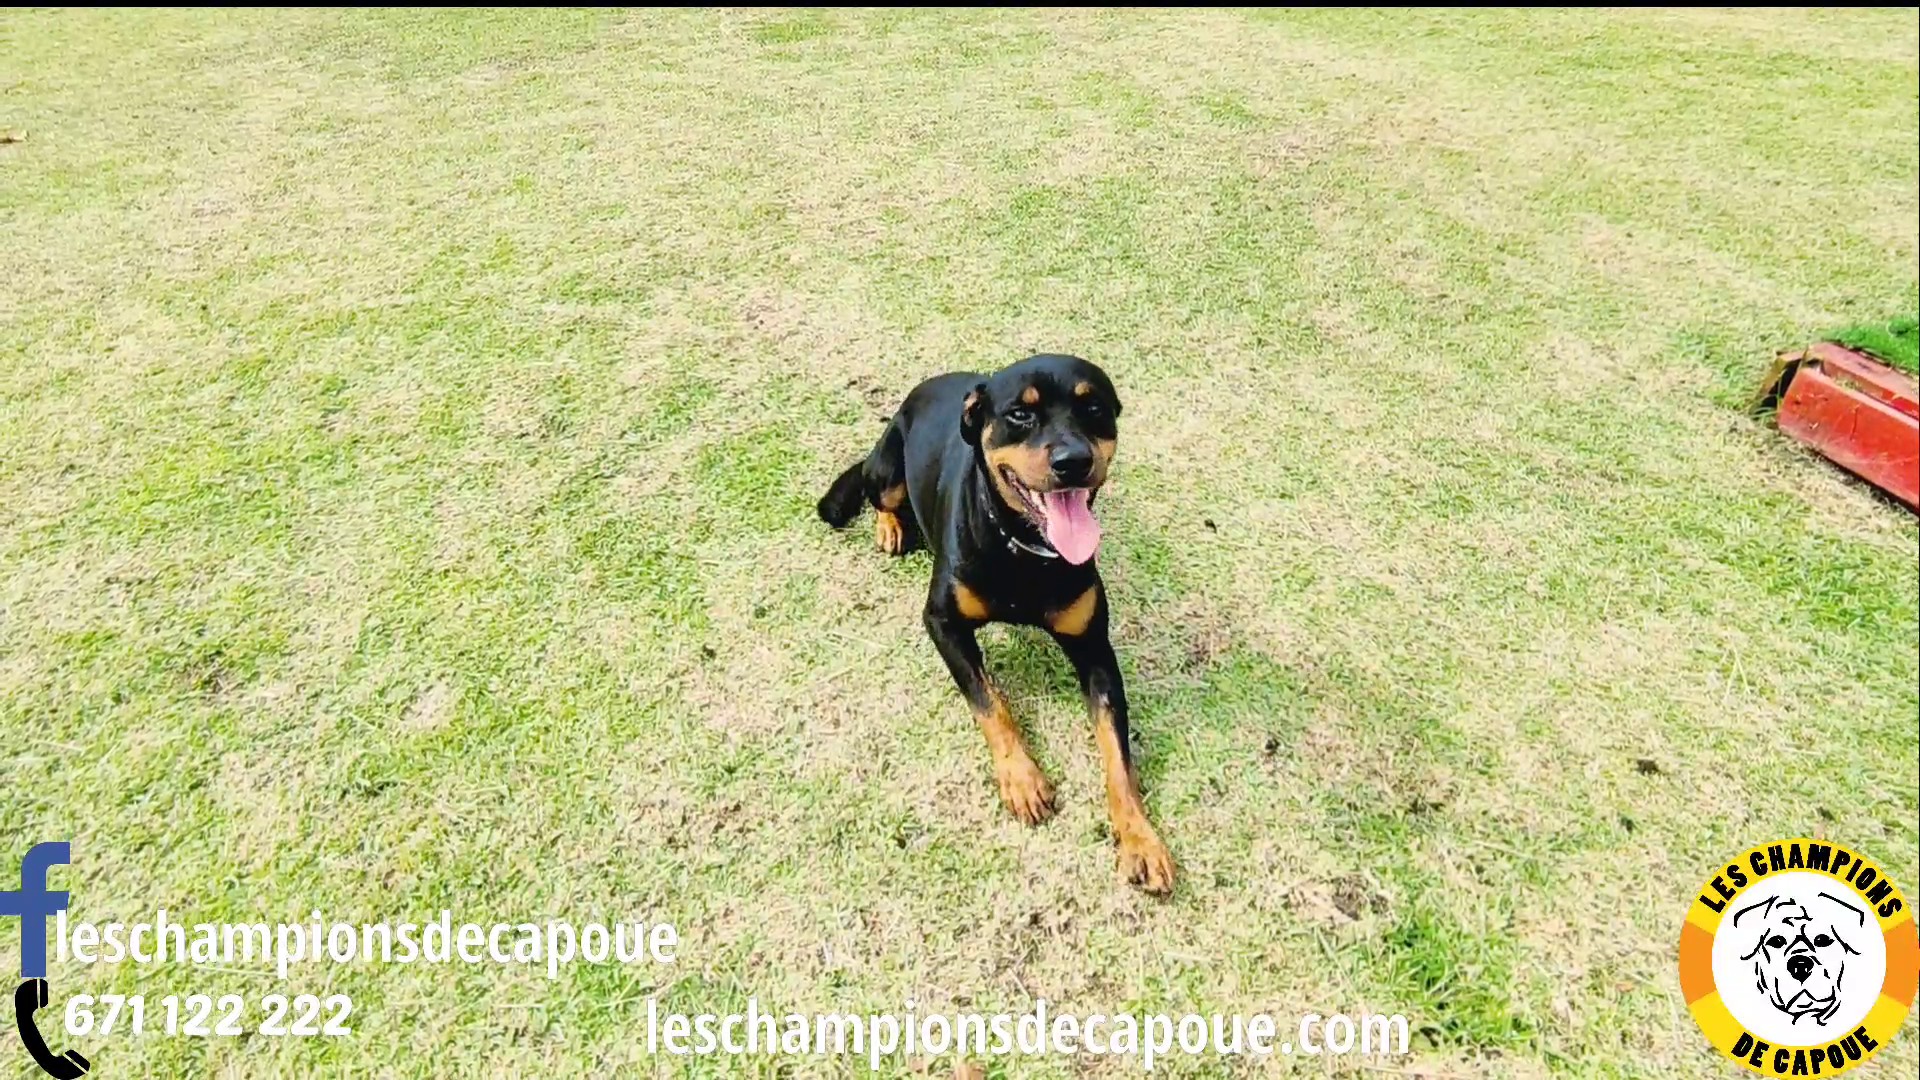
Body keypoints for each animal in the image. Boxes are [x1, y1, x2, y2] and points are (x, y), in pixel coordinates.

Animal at [814, 353, 1167, 891]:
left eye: (1094, 407)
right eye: (1020, 415)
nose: (1073, 462)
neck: (1024, 547)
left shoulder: (1095, 649)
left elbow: (1117, 753)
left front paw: (1140, 838)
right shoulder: (942, 622)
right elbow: (988, 701)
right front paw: (1022, 778)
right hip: (888, 466)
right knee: (882, 497)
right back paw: (889, 527)